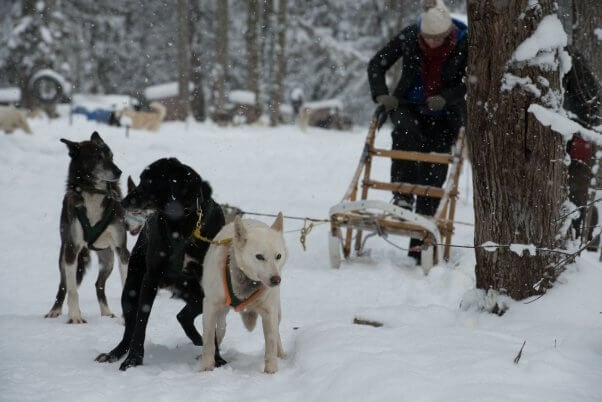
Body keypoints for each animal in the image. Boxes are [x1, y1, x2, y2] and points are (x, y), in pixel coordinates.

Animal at [44, 132, 130, 324]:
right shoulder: (71, 248)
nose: (119, 172)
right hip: (64, 257)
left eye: (111, 155)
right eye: (97, 157)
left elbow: (126, 283)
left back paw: (106, 313)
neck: (93, 193)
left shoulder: (121, 250)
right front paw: (75, 317)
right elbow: (72, 290)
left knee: (99, 285)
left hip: (108, 259)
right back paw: (55, 311)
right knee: (63, 285)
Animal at [96, 157, 227, 370]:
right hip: (131, 290)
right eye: (141, 179)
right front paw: (133, 360)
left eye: (148, 181)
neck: (182, 224)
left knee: (184, 316)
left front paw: (216, 358)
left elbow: (209, 323)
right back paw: (114, 353)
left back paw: (198, 340)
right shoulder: (151, 278)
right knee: (130, 329)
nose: (123, 202)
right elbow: (141, 323)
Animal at [200, 214, 288, 374]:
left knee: (277, 333)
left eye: (278, 256)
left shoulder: (269, 312)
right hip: (221, 313)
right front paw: (206, 368)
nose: (276, 280)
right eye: (259, 256)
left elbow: (271, 341)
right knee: (220, 330)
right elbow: (208, 340)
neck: (248, 281)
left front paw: (271, 371)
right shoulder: (210, 306)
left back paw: (281, 354)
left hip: (277, 312)